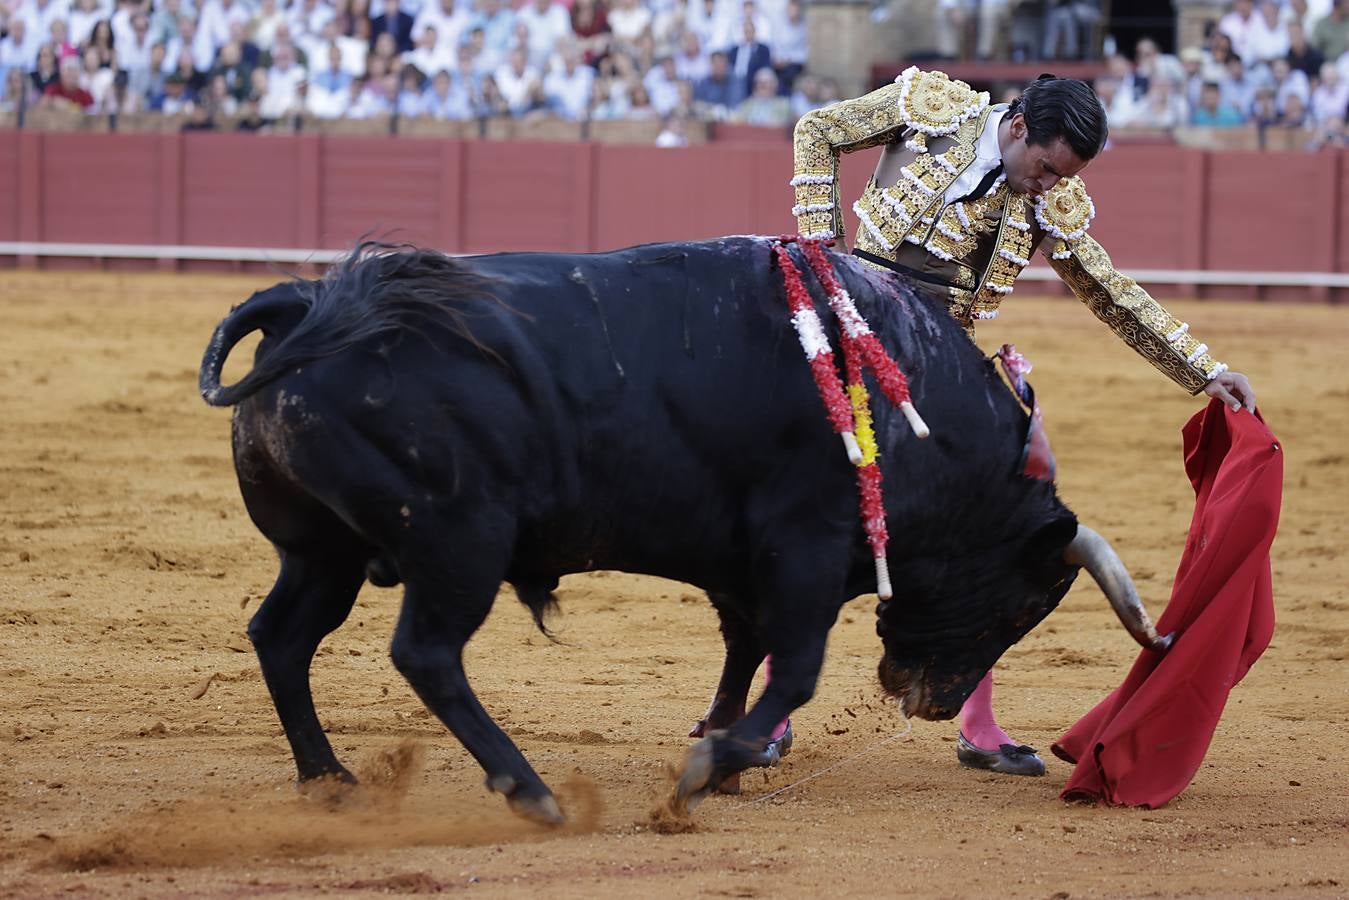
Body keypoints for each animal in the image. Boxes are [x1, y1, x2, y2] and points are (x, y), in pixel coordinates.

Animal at [196, 237, 1095, 825]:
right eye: (1022, 606)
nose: (934, 704)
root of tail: (310, 302)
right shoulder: (805, 542)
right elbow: (795, 669)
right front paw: (704, 770)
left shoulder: (742, 563)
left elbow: (743, 654)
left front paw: (723, 758)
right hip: (460, 542)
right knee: (424, 653)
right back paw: (531, 791)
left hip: (322, 550)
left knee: (281, 635)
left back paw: (329, 779)